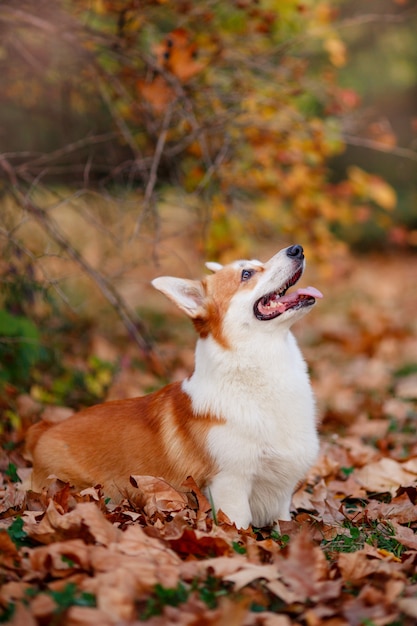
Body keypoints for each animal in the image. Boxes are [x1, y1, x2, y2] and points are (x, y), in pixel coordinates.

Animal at [26, 244, 322, 528]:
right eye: (246, 274)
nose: (297, 249)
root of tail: (43, 432)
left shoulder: (281, 496)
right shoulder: (231, 485)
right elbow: (239, 528)